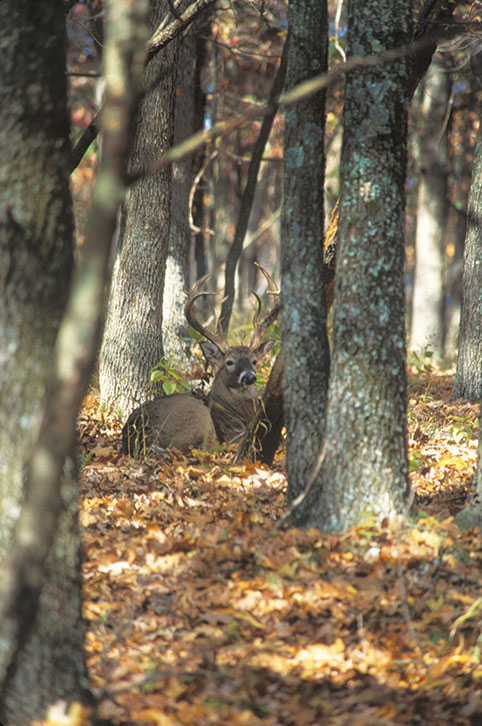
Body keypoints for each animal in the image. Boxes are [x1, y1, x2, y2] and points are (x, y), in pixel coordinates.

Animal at [121, 272, 278, 456]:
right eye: (229, 362)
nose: (249, 377)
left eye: (254, 361)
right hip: (198, 417)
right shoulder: (233, 434)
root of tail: (142, 440)